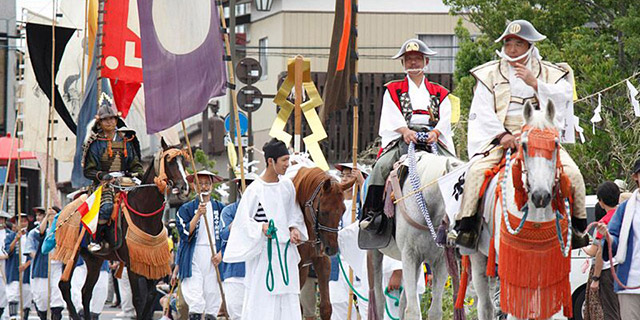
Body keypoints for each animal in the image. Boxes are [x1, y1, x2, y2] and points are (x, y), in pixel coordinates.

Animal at [57, 139, 190, 320]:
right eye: (169, 161)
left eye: (184, 161)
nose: (184, 188)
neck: (143, 213)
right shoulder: (132, 264)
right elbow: (138, 299)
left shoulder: (150, 260)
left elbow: (151, 296)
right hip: (71, 251)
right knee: (65, 286)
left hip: (94, 260)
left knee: (86, 292)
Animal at [368, 151, 462, 320]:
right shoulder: (409, 254)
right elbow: (412, 310)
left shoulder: (440, 260)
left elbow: (435, 311)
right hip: (375, 252)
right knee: (378, 299)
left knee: (402, 301)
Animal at [470, 100, 576, 320]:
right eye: (525, 145)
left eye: (555, 144)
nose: (540, 195)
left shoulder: (546, 266)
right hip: (478, 258)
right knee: (485, 306)